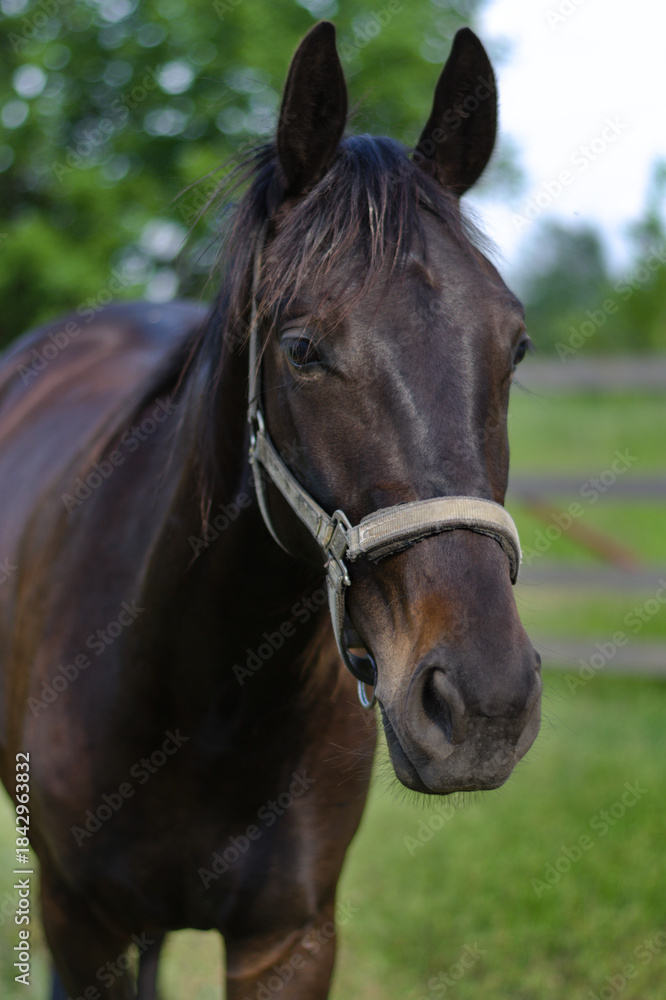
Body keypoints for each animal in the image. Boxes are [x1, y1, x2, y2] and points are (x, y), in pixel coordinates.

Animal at [0, 21, 541, 1000]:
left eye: (514, 345)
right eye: (301, 349)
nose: (485, 704)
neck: (201, 698)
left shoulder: (289, 938)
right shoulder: (79, 926)